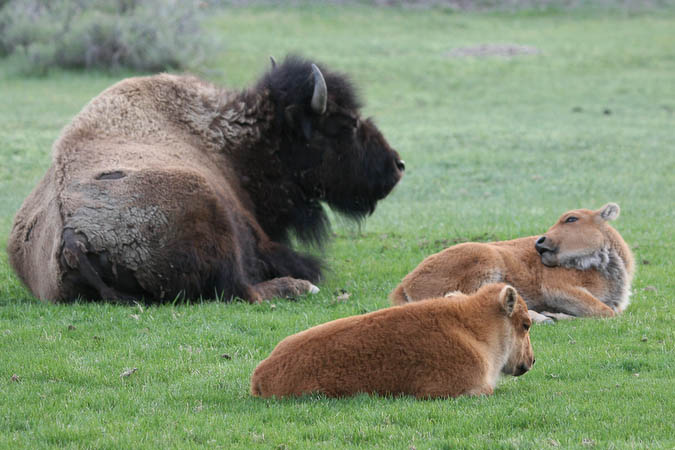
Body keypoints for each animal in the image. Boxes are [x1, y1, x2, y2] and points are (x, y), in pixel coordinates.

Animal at [7, 56, 404, 302]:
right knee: (245, 292)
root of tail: (74, 241)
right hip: (211, 213)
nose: (397, 165)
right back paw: (301, 287)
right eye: (346, 124)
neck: (230, 139)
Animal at [390, 204, 632, 324]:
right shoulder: (557, 288)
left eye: (572, 219)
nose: (540, 242)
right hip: (487, 259)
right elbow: (604, 311)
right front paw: (554, 315)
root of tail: (405, 284)